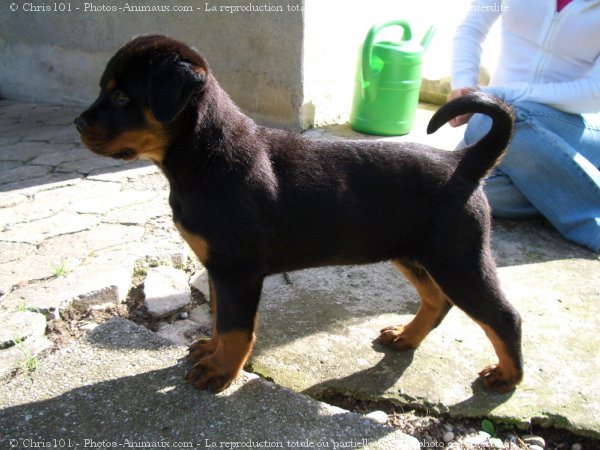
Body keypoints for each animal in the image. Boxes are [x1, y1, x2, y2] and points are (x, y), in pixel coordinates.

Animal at [75, 35, 524, 394]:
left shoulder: (237, 269)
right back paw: (406, 336)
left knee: (504, 317)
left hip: (458, 259)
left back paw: (507, 377)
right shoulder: (218, 267)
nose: (77, 122)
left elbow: (236, 327)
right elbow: (220, 317)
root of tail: (464, 163)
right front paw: (210, 351)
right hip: (413, 253)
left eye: (120, 97)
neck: (205, 157)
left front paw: (221, 371)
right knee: (437, 300)